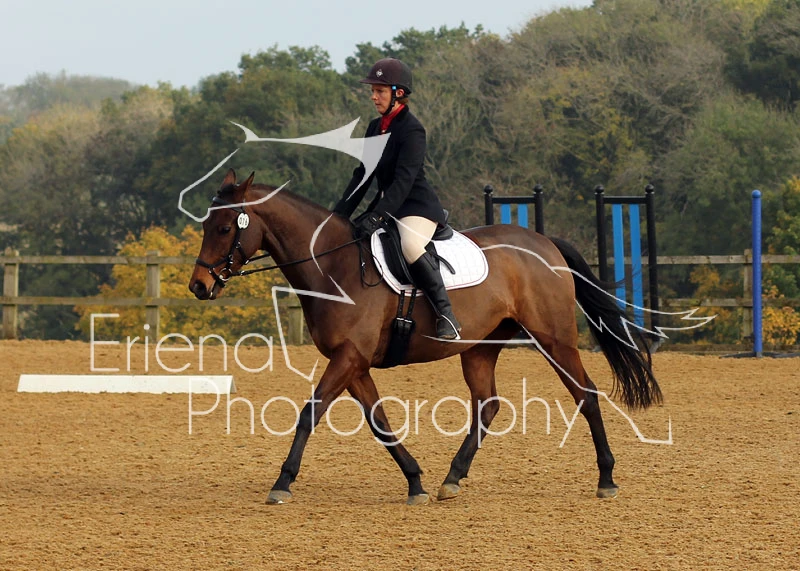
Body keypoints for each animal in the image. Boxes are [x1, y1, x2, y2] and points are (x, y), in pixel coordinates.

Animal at [188, 169, 662, 505]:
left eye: (225, 228)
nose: (199, 286)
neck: (333, 265)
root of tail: (544, 244)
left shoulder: (348, 358)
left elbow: (310, 413)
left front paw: (282, 482)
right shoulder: (354, 363)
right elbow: (379, 422)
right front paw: (415, 481)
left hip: (554, 339)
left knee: (586, 394)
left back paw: (606, 478)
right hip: (480, 348)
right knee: (488, 405)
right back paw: (451, 479)